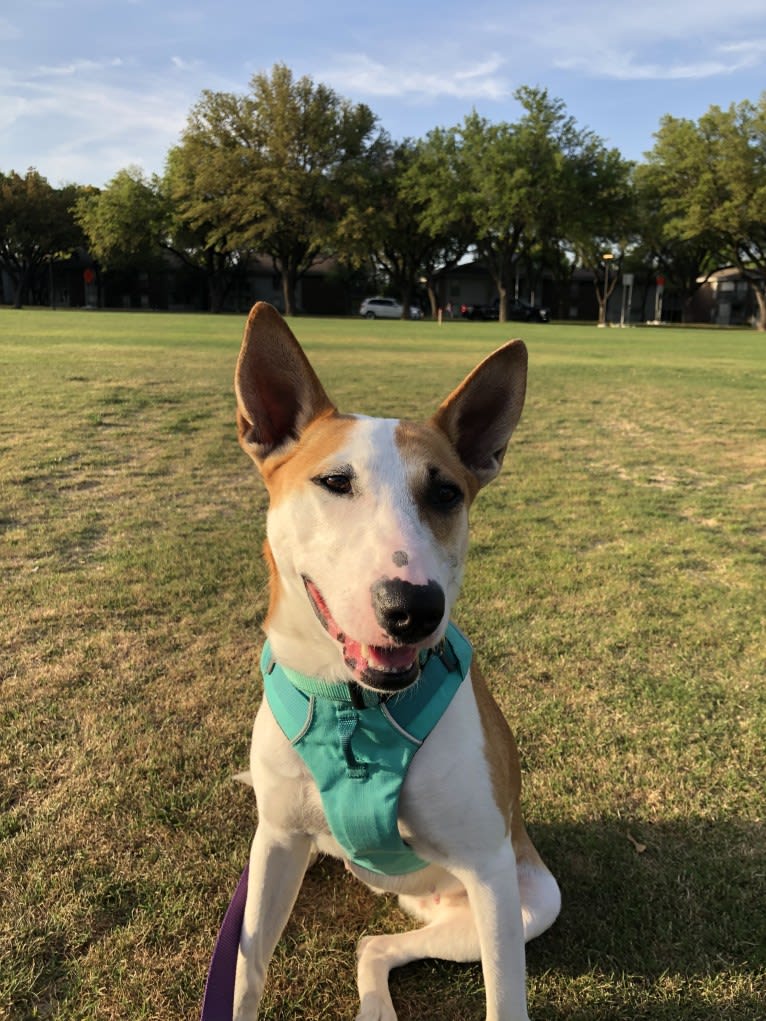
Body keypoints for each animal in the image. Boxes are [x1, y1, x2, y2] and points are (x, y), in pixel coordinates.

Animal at [230, 302, 559, 1021]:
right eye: (334, 482)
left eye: (446, 495)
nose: (413, 608)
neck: (358, 708)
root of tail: (414, 898)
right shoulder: (275, 841)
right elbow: (245, 969)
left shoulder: (491, 872)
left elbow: (506, 1001)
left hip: (525, 900)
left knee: (374, 945)